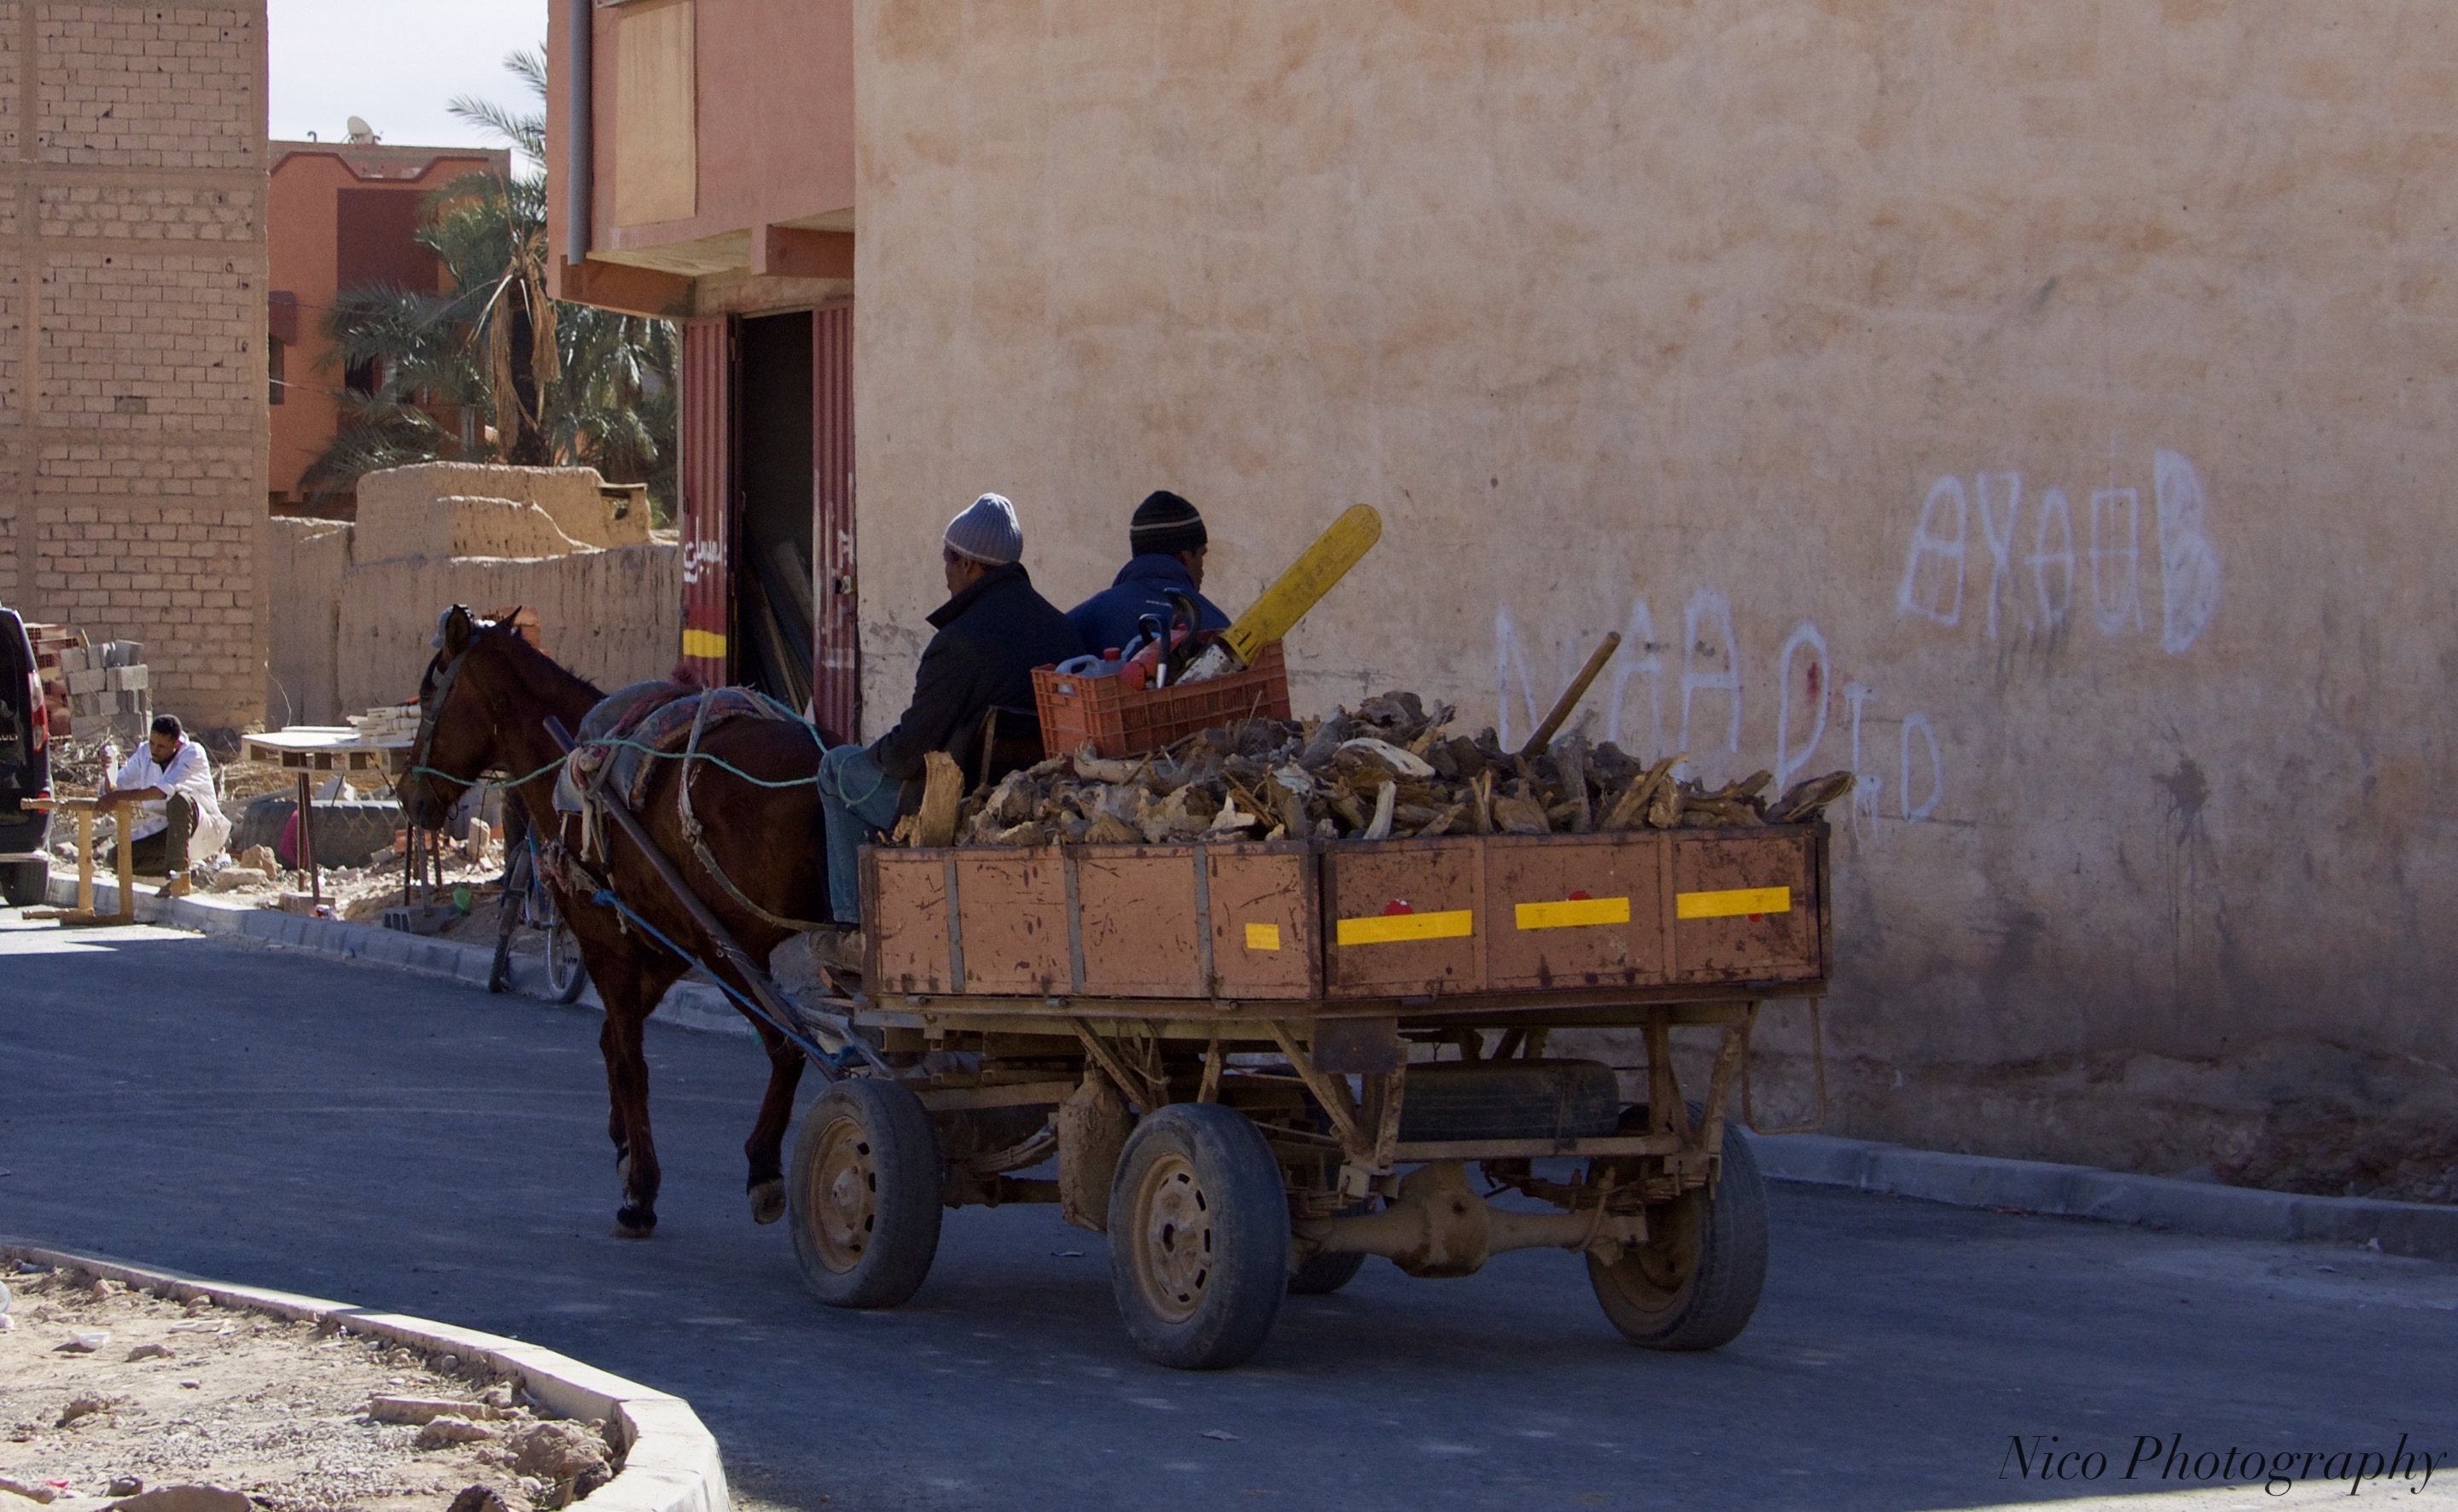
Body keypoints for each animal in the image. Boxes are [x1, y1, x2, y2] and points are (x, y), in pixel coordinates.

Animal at [402, 605, 842, 1239]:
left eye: (428, 693)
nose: (408, 795)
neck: (567, 758)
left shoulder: (610, 943)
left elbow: (632, 1062)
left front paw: (640, 1191)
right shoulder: (660, 948)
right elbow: (611, 1043)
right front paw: (624, 1149)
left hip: (734, 955)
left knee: (789, 1048)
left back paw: (764, 1169)